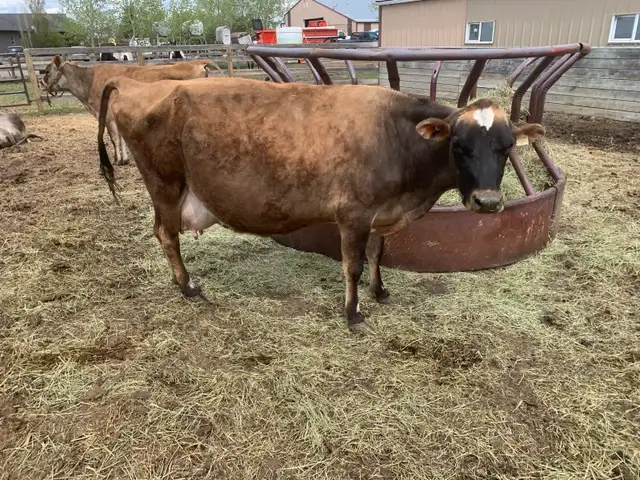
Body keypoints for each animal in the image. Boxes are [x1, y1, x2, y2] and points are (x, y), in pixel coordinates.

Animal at [39, 55, 225, 165]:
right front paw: (125, 158)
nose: (41, 84)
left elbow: (114, 137)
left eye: (47, 70)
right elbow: (121, 137)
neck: (88, 81)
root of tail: (198, 62)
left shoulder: (105, 115)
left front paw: (118, 160)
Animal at [96, 77, 545, 333]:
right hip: (165, 185)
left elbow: (378, 254)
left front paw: (379, 291)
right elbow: (353, 265)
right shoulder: (354, 213)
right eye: (459, 145)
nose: (487, 201)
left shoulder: (379, 213)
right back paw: (187, 286)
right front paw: (353, 313)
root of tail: (135, 86)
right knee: (166, 234)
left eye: (506, 147)